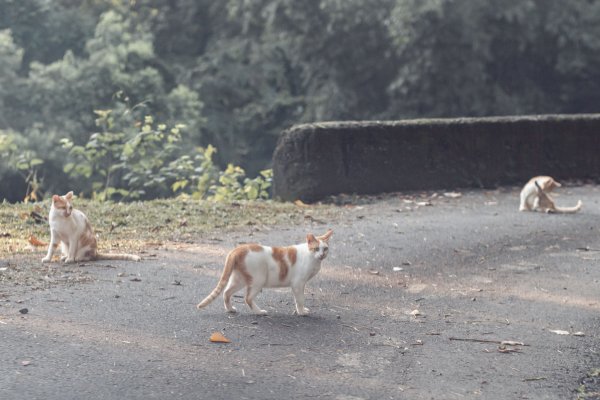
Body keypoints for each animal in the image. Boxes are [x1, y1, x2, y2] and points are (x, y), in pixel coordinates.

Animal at [197, 230, 332, 314]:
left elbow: (298, 299)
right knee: (247, 298)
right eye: (316, 249)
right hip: (258, 280)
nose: (322, 255)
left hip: (239, 280)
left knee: (226, 293)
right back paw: (259, 312)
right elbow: (300, 300)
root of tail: (238, 249)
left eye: (325, 249)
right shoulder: (298, 284)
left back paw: (230, 309)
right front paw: (301, 312)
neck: (313, 258)